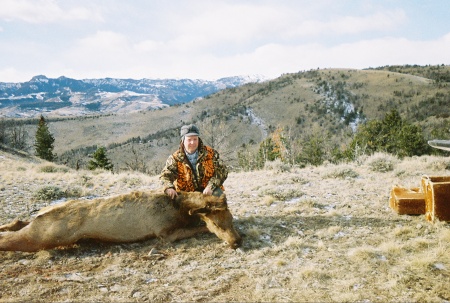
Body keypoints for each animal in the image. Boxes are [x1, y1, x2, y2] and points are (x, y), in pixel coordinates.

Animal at [0, 191, 243, 253]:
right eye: (217, 224)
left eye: (231, 218)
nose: (237, 241)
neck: (181, 209)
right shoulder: (163, 233)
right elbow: (196, 228)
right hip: (45, 235)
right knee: (11, 239)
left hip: (38, 225)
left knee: (18, 220)